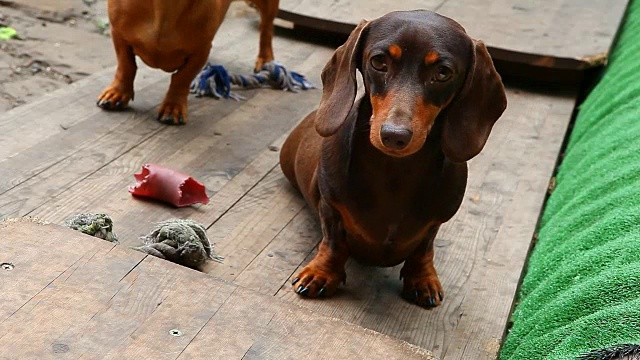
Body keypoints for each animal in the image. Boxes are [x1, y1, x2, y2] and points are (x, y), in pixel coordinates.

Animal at [97, 0, 278, 124]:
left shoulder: (201, 50)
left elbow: (181, 79)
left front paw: (173, 108)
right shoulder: (119, 34)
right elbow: (126, 66)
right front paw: (117, 93)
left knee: (266, 26)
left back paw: (266, 60)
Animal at [278, 11, 504, 310]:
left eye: (443, 72)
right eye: (378, 62)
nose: (394, 136)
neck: (394, 172)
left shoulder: (436, 221)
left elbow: (424, 249)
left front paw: (422, 279)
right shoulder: (330, 205)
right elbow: (333, 242)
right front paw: (320, 273)